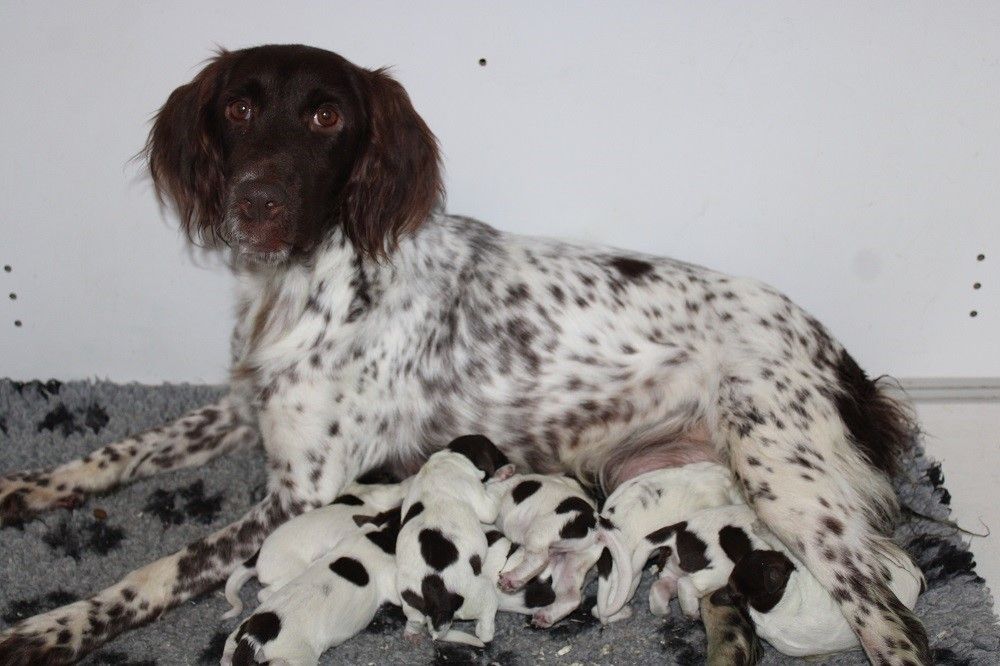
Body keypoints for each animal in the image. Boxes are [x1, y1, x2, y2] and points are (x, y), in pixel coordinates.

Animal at [394, 430, 512, 644]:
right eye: (497, 451)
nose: (508, 460)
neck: (449, 455)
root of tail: (438, 607)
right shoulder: (483, 502)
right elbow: (490, 496)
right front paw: (502, 475)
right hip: (484, 592)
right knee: (484, 630)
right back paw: (487, 634)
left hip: (410, 602)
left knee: (414, 619)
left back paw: (412, 633)